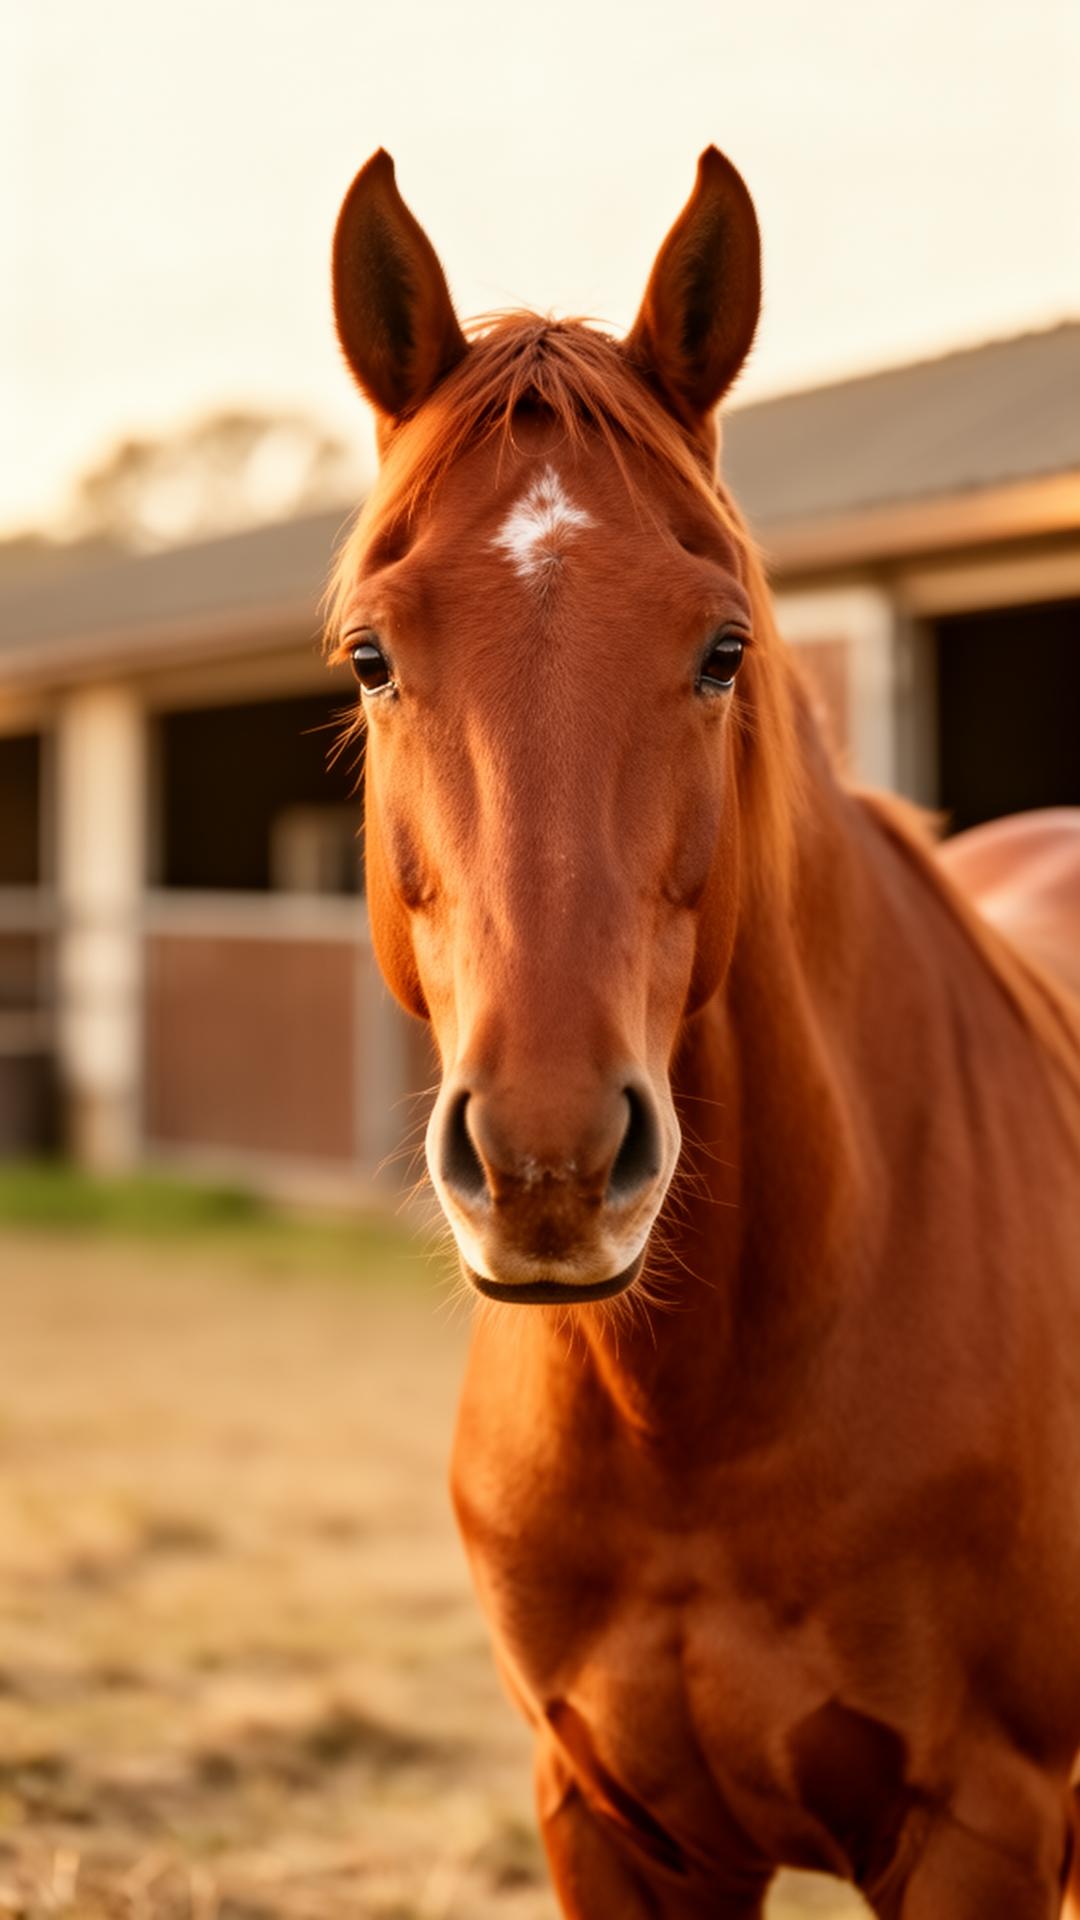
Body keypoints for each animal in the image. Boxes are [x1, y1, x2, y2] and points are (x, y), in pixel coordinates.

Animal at [325, 148, 1080, 1918]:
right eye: (373, 655)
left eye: (722, 648)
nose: (547, 1161)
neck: (700, 1416)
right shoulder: (606, 1817)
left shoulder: (988, 1825)